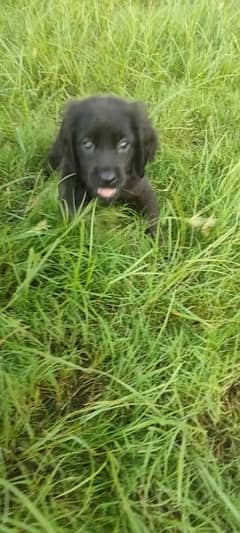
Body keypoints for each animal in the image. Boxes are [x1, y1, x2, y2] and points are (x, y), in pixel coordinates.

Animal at [46, 95, 160, 235]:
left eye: (123, 144)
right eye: (87, 144)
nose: (107, 179)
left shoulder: (142, 189)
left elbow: (152, 218)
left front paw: (156, 240)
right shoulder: (69, 189)